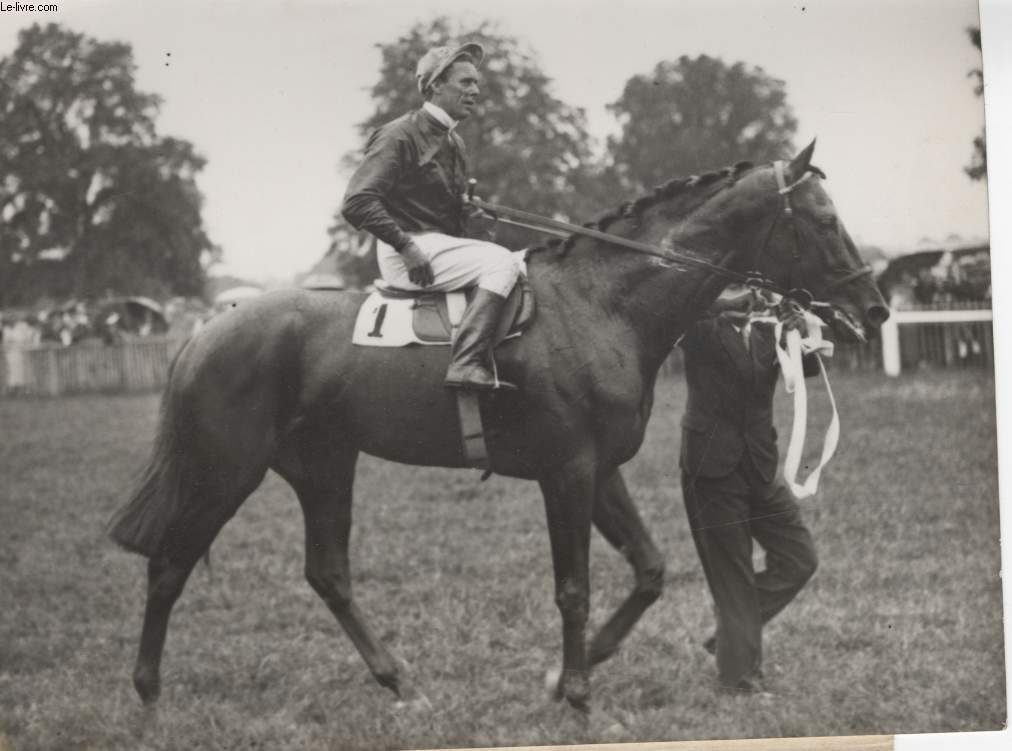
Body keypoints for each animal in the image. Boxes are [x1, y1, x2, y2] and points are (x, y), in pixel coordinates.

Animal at [108, 142, 886, 712]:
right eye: (823, 221)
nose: (874, 307)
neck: (601, 303)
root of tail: (208, 328)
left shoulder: (600, 470)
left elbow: (649, 570)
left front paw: (573, 670)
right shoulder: (566, 472)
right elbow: (574, 587)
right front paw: (576, 690)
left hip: (324, 465)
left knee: (327, 574)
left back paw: (399, 680)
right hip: (224, 470)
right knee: (169, 566)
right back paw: (148, 693)